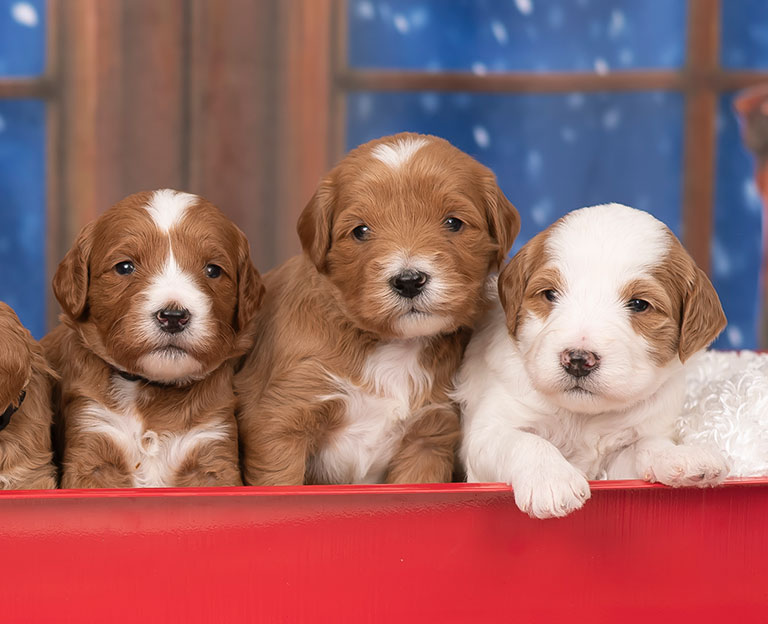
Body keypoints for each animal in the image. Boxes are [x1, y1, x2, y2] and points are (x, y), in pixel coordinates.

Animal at [42, 188, 264, 490]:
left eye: (213, 270)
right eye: (125, 267)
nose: (173, 316)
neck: (153, 390)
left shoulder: (213, 449)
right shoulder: (92, 437)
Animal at [236, 132, 520, 486]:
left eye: (453, 223)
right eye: (361, 231)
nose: (409, 281)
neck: (392, 346)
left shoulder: (428, 436)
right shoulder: (281, 419)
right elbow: (281, 482)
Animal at [452, 204, 728, 516]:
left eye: (639, 304)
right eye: (549, 294)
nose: (578, 359)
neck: (582, 416)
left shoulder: (622, 457)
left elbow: (647, 445)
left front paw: (681, 456)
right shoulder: (488, 433)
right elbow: (524, 440)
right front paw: (551, 477)